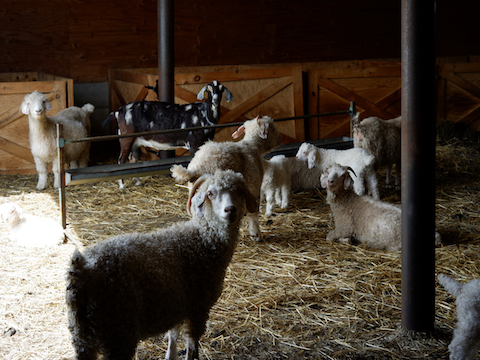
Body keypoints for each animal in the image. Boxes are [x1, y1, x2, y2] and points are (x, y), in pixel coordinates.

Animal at [104, 81, 233, 188]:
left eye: (221, 89)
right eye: (208, 90)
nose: (215, 100)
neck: (204, 115)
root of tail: (118, 111)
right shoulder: (194, 143)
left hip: (135, 141)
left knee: (132, 159)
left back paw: (137, 182)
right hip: (126, 137)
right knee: (121, 160)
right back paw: (122, 185)